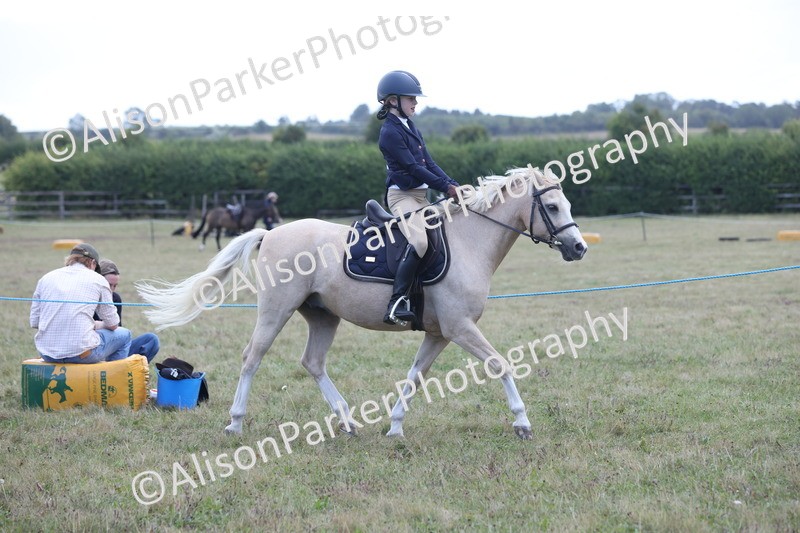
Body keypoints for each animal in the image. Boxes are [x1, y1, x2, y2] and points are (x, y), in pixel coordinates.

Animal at [136, 166, 588, 439]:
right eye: (551, 206)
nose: (579, 248)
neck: (468, 241)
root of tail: (272, 232)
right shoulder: (460, 327)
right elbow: (500, 364)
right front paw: (522, 422)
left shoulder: (440, 333)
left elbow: (414, 376)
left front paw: (395, 427)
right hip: (276, 309)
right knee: (252, 357)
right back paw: (235, 424)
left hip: (322, 316)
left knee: (313, 362)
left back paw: (349, 421)